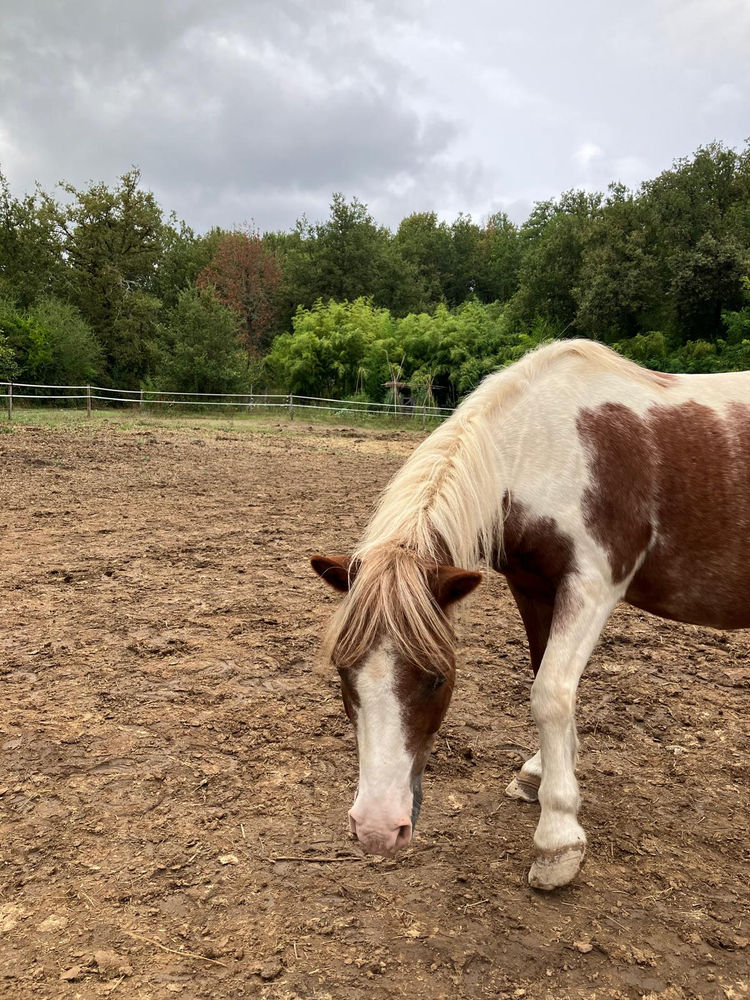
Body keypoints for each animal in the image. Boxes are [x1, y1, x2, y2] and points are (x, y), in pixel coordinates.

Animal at [311, 339, 750, 890]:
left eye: (436, 679)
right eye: (343, 673)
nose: (376, 828)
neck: (545, 447)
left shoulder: (592, 586)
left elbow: (552, 693)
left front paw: (557, 836)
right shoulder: (533, 586)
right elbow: (543, 677)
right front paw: (539, 772)